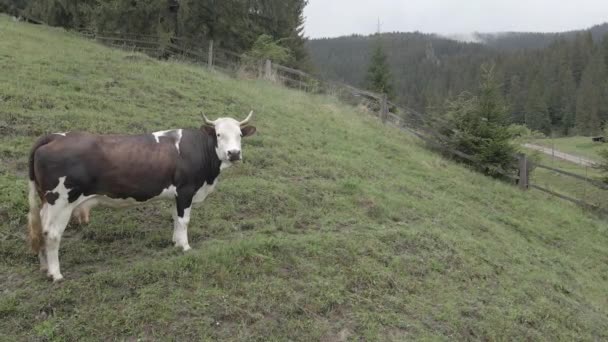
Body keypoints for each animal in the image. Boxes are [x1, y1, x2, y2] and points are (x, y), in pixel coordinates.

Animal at [27, 110, 255, 280]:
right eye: (219, 134)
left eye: (240, 135)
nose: (234, 153)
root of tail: (54, 136)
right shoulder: (186, 190)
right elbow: (184, 221)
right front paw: (185, 247)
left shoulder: (176, 194)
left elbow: (175, 218)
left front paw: (175, 243)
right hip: (61, 201)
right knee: (51, 233)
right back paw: (56, 274)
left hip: (47, 202)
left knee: (39, 229)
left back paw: (45, 267)